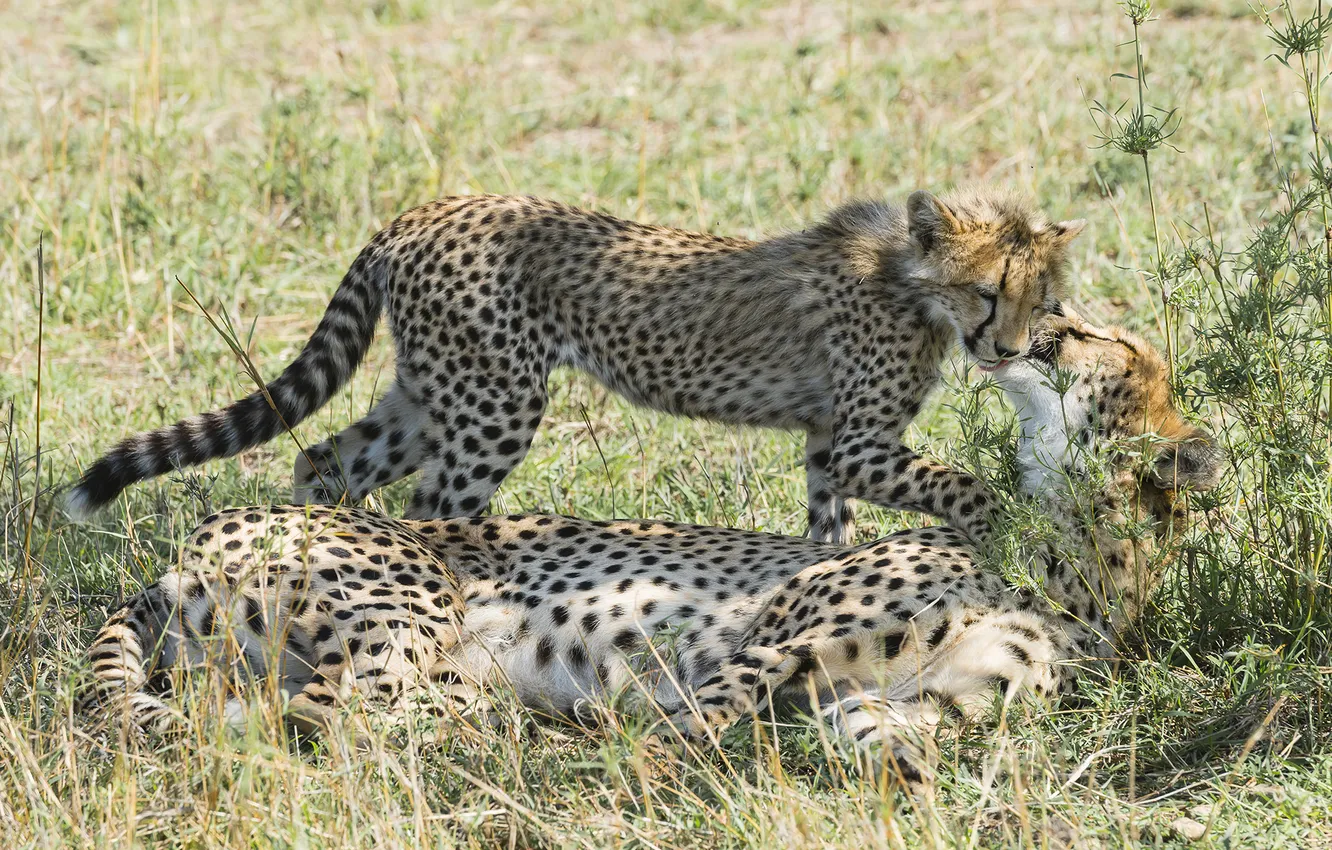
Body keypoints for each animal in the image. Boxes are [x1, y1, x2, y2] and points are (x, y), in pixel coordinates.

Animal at [64, 189, 1081, 543]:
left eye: (1043, 301)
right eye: (989, 291)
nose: (1008, 349)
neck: (910, 282)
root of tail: (426, 209)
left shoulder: (830, 443)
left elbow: (826, 530)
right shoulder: (862, 441)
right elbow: (963, 486)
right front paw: (1007, 528)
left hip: (430, 393)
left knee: (325, 461)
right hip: (497, 402)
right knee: (435, 509)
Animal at [77, 307, 1220, 778]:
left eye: (1108, 340)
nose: (1047, 326)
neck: (1065, 555)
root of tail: (189, 538)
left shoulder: (903, 699)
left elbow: (891, 738)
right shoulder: (774, 633)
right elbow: (697, 719)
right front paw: (639, 755)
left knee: (305, 712)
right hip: (409, 612)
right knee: (317, 716)